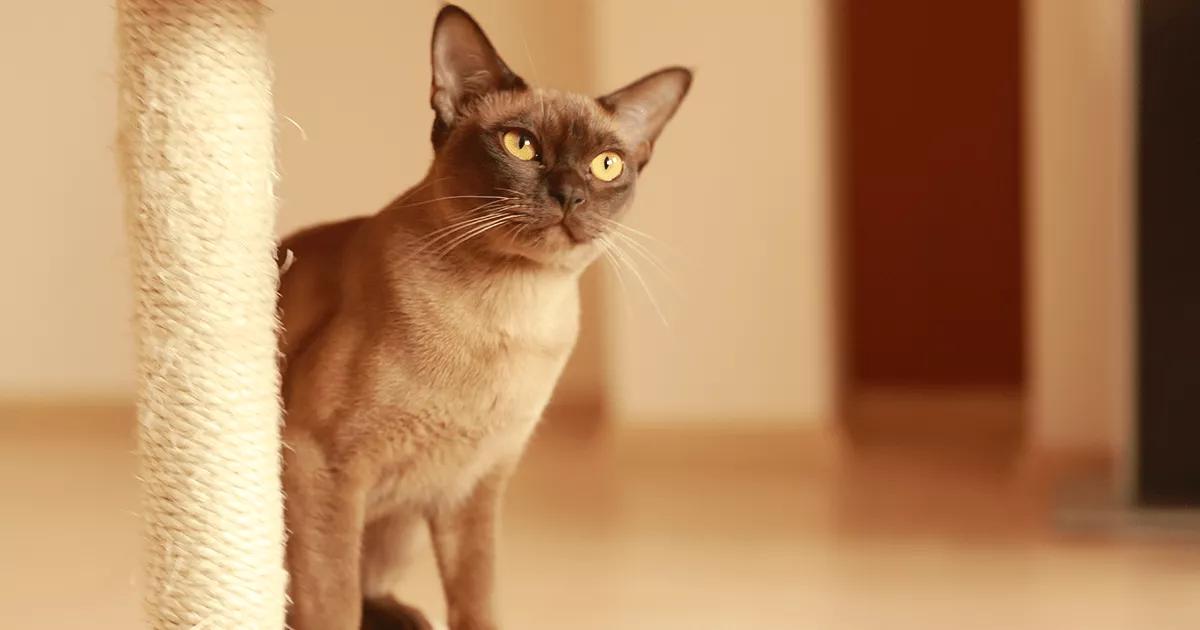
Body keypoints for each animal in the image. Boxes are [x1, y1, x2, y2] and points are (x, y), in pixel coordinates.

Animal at [277, 6, 691, 628]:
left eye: (606, 165)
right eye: (521, 145)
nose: (569, 194)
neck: (509, 311)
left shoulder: (472, 485)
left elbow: (477, 597)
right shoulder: (322, 466)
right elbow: (333, 604)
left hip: (399, 527)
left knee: (375, 586)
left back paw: (408, 618)